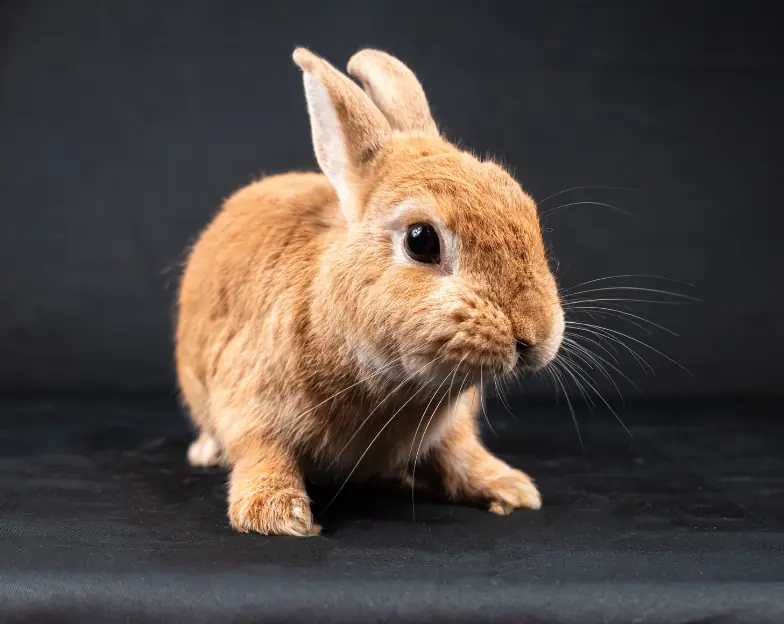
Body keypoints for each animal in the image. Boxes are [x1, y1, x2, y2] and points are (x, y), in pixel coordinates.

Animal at [175, 47, 565, 536]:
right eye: (421, 240)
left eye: (525, 208)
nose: (534, 335)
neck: (395, 387)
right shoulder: (248, 398)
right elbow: (261, 450)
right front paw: (278, 515)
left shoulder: (449, 429)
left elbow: (459, 454)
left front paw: (509, 489)